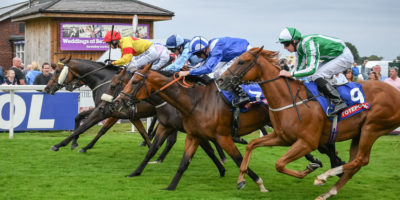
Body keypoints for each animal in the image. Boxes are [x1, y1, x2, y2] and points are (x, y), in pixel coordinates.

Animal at [217, 47, 400, 200]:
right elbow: (252, 145)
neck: (288, 100)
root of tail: (396, 93)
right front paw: (241, 180)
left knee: (361, 160)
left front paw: (310, 169)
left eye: (242, 61)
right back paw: (327, 193)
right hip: (359, 132)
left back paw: (324, 177)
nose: (220, 80)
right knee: (355, 164)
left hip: (372, 128)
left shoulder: (307, 142)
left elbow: (279, 164)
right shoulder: (282, 137)